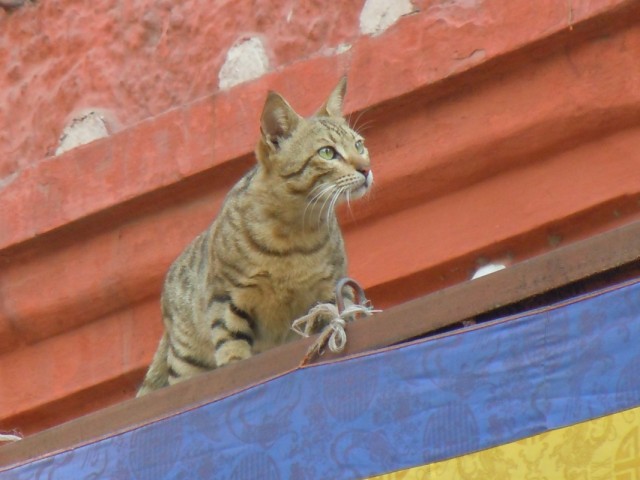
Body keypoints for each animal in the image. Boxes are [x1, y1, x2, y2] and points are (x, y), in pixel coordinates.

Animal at [137, 77, 372, 396]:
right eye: (327, 152)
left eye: (359, 145)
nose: (366, 168)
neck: (294, 231)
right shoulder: (226, 297)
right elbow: (233, 348)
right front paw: (236, 366)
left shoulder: (332, 289)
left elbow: (338, 316)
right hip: (186, 358)